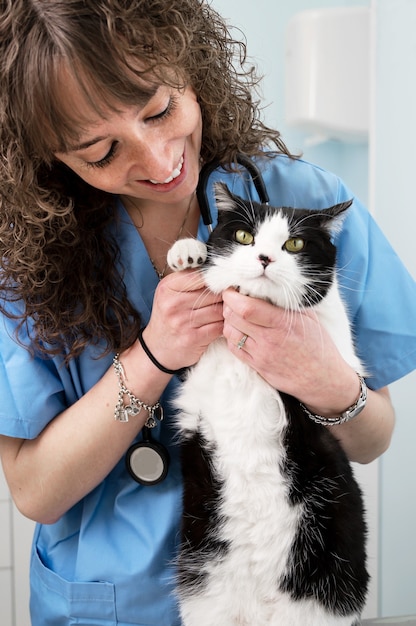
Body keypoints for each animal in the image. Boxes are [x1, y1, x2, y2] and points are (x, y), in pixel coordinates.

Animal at [167, 183, 368, 620]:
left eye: (294, 244)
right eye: (245, 236)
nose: (264, 258)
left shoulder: (341, 354)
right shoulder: (192, 370)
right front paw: (188, 251)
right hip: (205, 597)